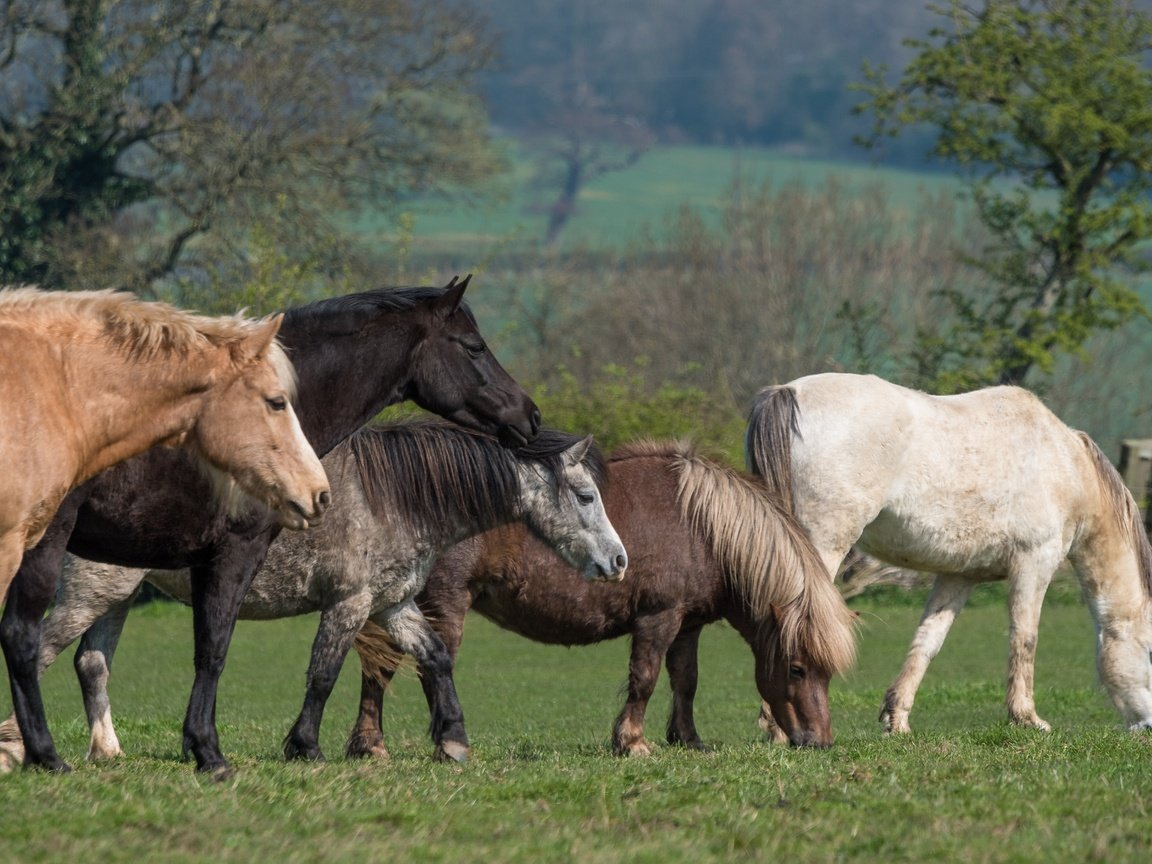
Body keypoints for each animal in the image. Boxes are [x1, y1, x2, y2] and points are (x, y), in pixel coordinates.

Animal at [0, 423, 631, 769]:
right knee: (41, 650)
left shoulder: (391, 603)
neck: (393, 495)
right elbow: (323, 673)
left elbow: (434, 658)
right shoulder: (349, 604)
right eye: (584, 496)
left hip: (119, 596)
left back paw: (107, 752)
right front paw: (304, 746)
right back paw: (20, 748)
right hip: (92, 592)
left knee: (91, 663)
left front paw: (452, 740)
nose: (619, 562)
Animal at [345, 440, 861, 755]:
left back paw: (369, 744)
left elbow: (685, 680)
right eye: (797, 668)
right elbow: (645, 679)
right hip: (444, 605)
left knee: (379, 669)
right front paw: (631, 742)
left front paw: (687, 739)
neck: (701, 527)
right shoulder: (658, 618)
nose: (819, 741)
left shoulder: (688, 624)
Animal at [746, 373, 1152, 737]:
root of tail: (787, 392)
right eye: (1150, 652)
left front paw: (897, 720)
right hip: (822, 546)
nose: (1147, 727)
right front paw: (1027, 719)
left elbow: (928, 642)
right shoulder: (1035, 562)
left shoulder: (959, 576)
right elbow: (1025, 637)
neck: (1065, 466)